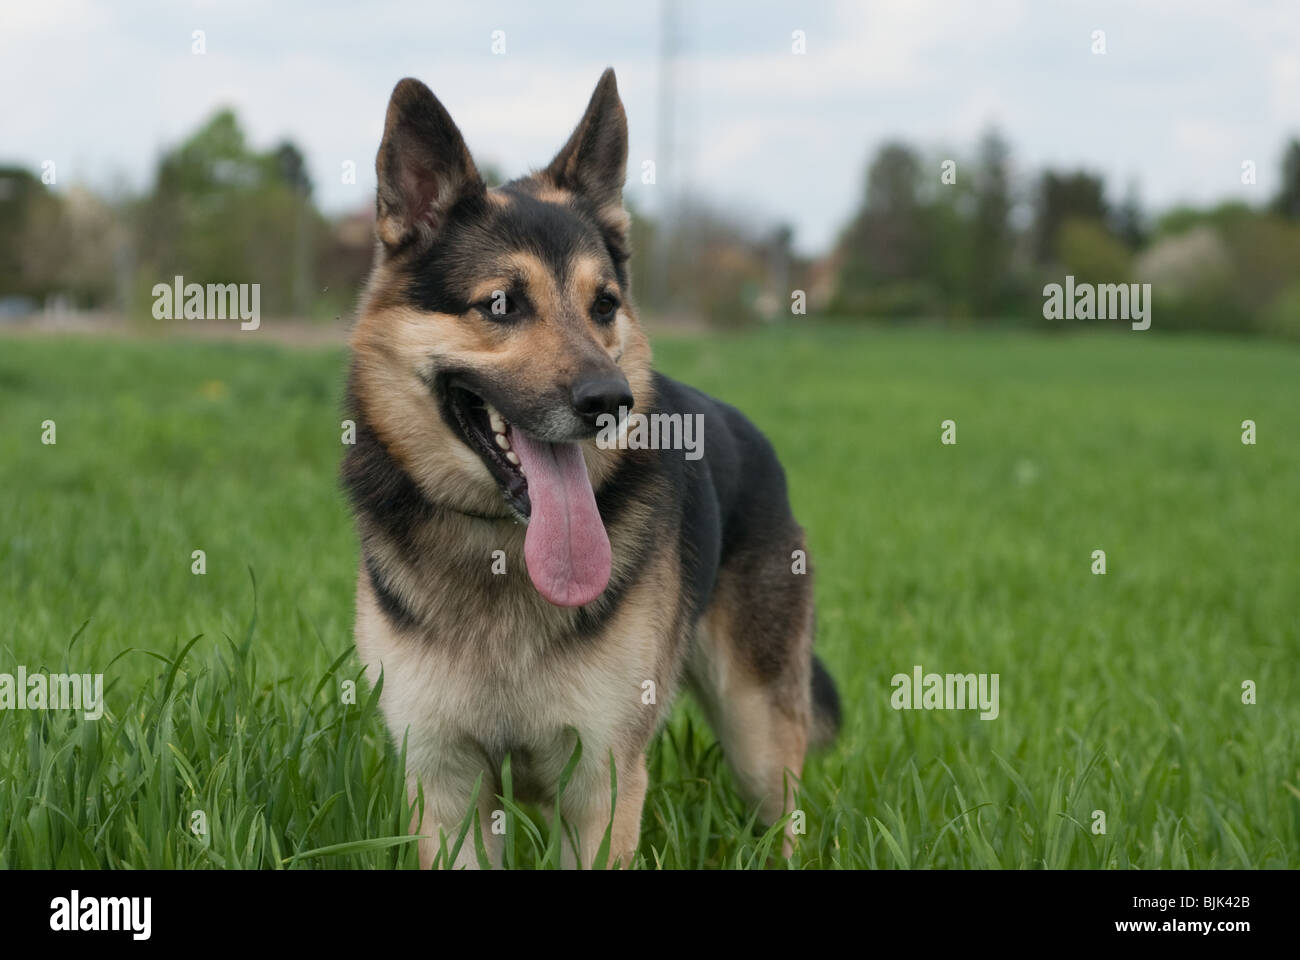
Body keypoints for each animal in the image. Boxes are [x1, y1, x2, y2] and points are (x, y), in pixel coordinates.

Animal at [340, 67, 837, 868]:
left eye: (603, 305)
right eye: (501, 305)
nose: (611, 400)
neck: (499, 553)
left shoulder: (601, 783)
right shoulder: (445, 783)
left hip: (758, 737)